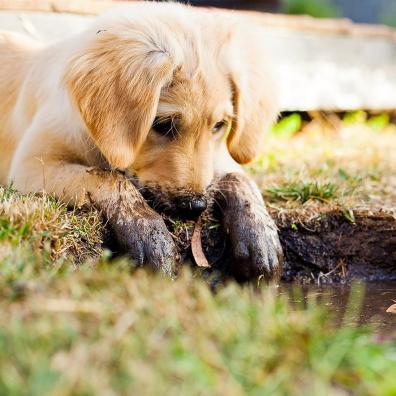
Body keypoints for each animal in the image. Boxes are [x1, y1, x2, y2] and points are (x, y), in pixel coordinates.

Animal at [0, 1, 284, 278]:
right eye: (163, 125)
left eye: (219, 126)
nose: (196, 206)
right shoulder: (30, 166)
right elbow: (108, 177)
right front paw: (147, 232)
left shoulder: (214, 158)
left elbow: (239, 176)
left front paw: (259, 233)